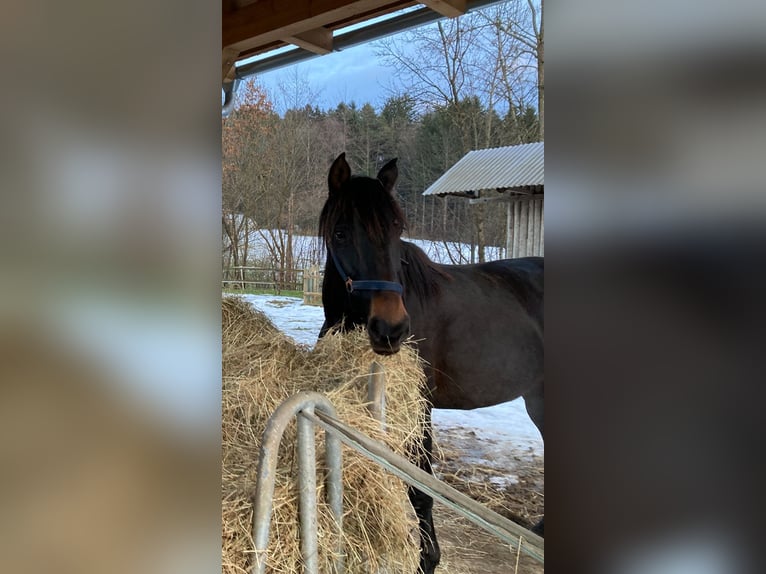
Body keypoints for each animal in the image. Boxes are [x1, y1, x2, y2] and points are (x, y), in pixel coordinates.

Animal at [318, 153, 544, 574]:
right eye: (340, 234)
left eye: (396, 230)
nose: (390, 329)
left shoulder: (419, 408)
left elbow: (420, 485)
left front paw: (428, 559)